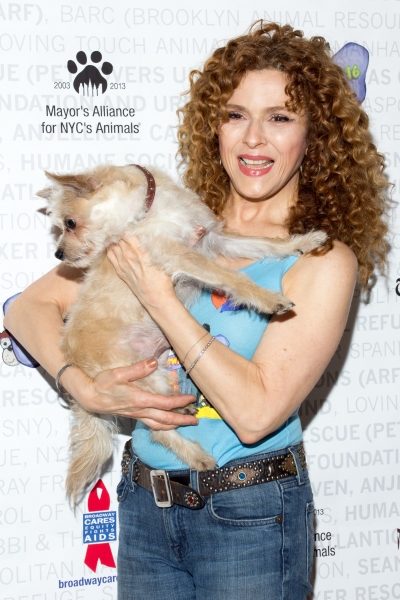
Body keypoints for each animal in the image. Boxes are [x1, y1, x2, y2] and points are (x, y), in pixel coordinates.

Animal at [36, 163, 324, 502]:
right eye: (61, 225)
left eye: (70, 223)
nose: (58, 254)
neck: (150, 208)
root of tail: (74, 359)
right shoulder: (176, 253)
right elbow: (229, 277)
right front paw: (267, 298)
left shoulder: (214, 238)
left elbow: (261, 242)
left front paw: (300, 242)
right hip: (143, 379)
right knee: (158, 429)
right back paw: (194, 454)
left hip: (158, 366)